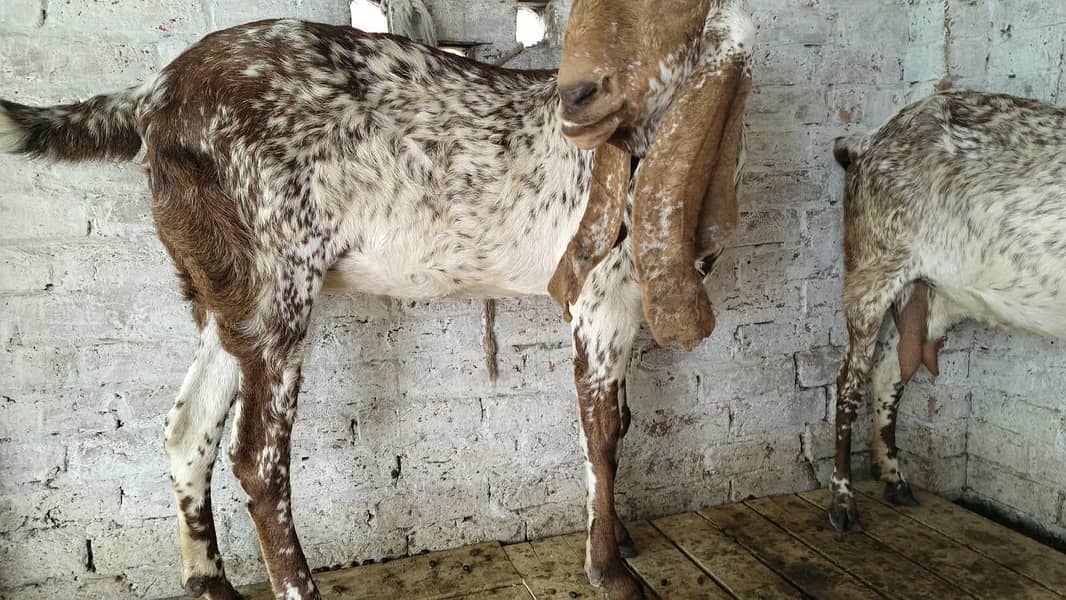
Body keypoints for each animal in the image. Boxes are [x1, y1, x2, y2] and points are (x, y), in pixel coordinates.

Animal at [0, 1, 754, 598]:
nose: (586, 95)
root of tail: (154, 95)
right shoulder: (600, 296)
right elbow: (601, 433)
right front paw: (610, 570)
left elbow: (619, 420)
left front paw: (619, 539)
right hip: (281, 277)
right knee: (258, 459)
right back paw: (296, 587)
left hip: (226, 287)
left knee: (188, 430)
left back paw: (209, 582)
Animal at [828, 89, 1066, 532]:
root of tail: (867, 140)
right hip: (871, 270)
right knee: (849, 379)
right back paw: (842, 504)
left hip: (936, 295)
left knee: (888, 371)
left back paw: (895, 480)